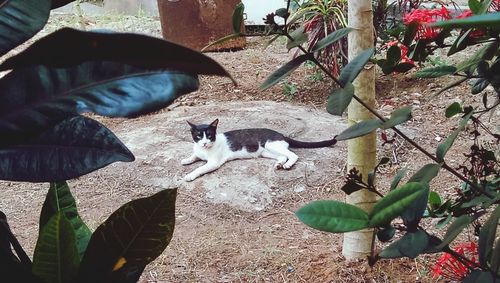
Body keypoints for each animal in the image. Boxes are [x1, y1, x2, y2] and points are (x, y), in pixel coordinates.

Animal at [182, 119, 338, 182]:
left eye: (209, 135)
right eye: (198, 136)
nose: (204, 143)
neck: (205, 150)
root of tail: (282, 135)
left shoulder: (214, 162)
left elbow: (199, 168)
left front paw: (189, 175)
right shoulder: (198, 152)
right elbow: (194, 155)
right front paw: (186, 160)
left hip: (271, 145)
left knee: (293, 155)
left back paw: (288, 164)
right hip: (266, 151)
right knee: (282, 156)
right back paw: (279, 165)